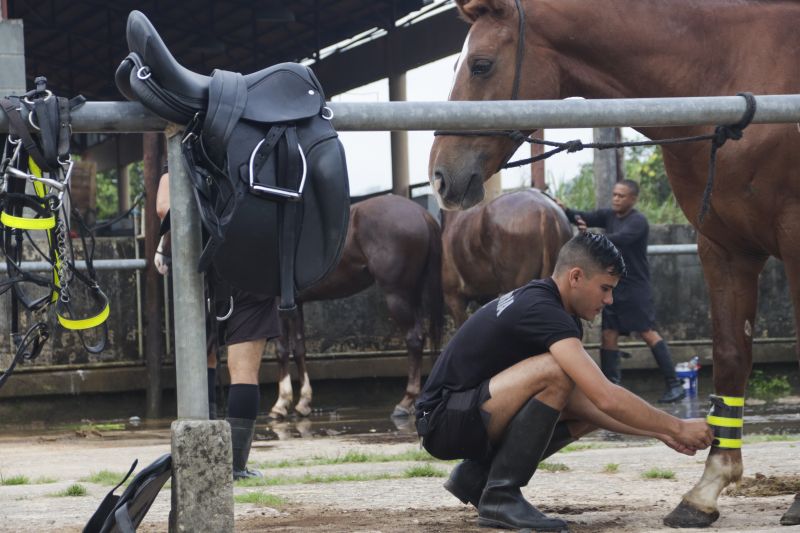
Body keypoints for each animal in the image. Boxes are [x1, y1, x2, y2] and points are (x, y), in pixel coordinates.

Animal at [268, 193, 444, 418]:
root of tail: (421, 213)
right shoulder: (296, 305)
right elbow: (298, 348)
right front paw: (303, 403)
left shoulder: (277, 305)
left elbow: (281, 349)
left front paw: (281, 404)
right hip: (413, 293)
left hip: (397, 294)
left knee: (414, 339)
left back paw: (406, 402)